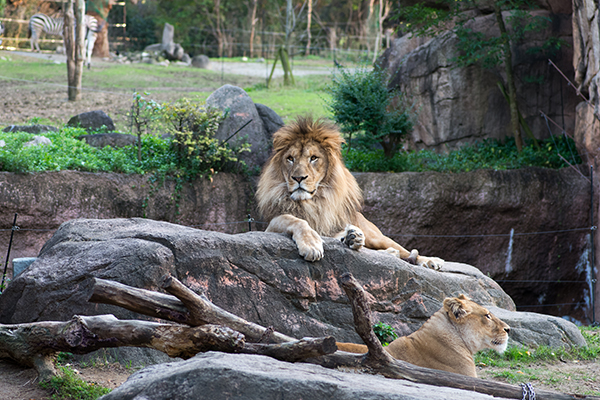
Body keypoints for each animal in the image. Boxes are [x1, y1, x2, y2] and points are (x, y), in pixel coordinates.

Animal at [255, 115, 442, 268]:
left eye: (313, 158)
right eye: (290, 159)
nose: (298, 178)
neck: (313, 202)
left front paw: (352, 238)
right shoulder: (270, 227)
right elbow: (295, 220)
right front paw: (312, 244)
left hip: (377, 236)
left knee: (403, 251)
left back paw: (432, 261)